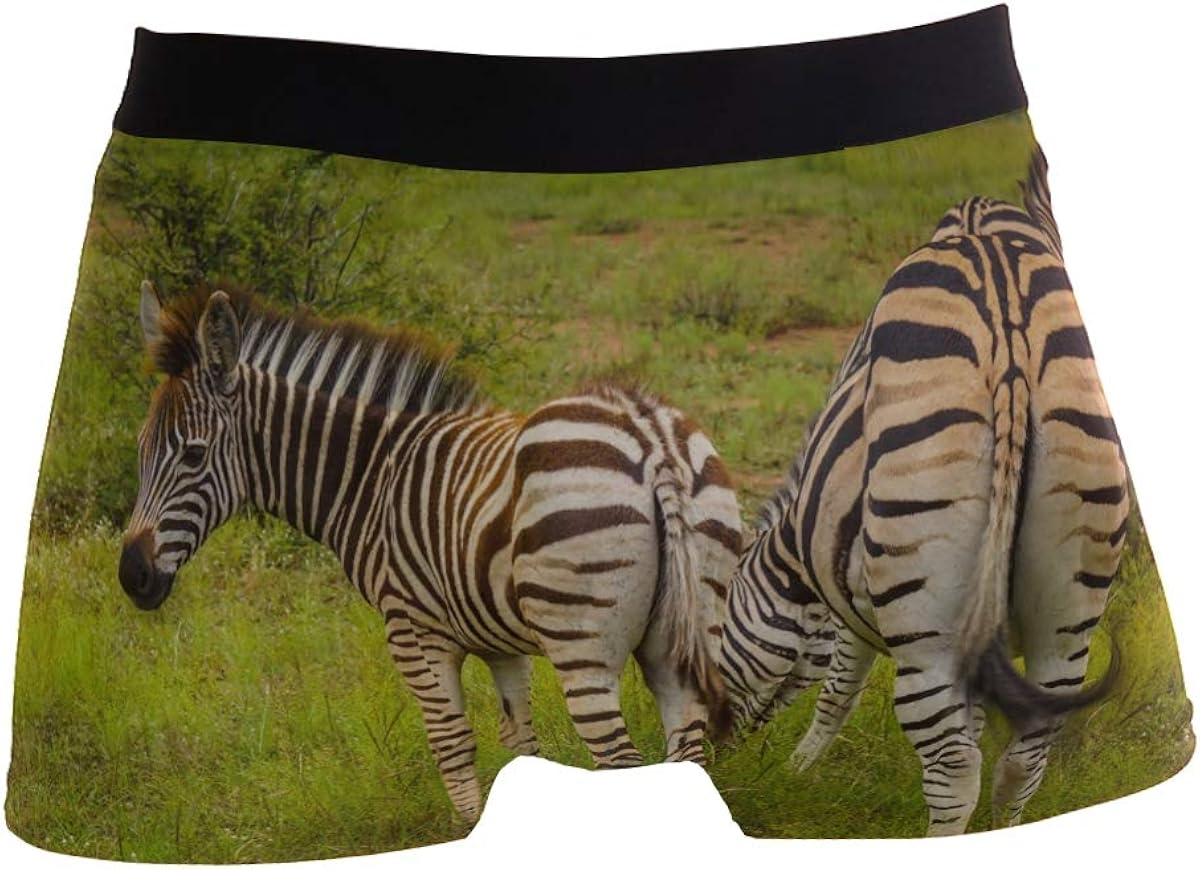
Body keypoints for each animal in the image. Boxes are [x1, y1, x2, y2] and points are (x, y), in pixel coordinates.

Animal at [118, 284, 742, 822]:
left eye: (193, 455)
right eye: (141, 449)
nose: (132, 576)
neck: (372, 476)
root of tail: (649, 435)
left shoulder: (413, 631)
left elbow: (451, 744)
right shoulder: (497, 642)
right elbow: (520, 741)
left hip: (582, 646)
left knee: (619, 761)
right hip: (681, 636)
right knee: (688, 752)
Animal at [718, 147, 1127, 835]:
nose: (718, 756)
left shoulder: (854, 605)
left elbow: (837, 690)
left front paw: (799, 770)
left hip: (928, 619)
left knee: (954, 766)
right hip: (1070, 598)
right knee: (1025, 755)